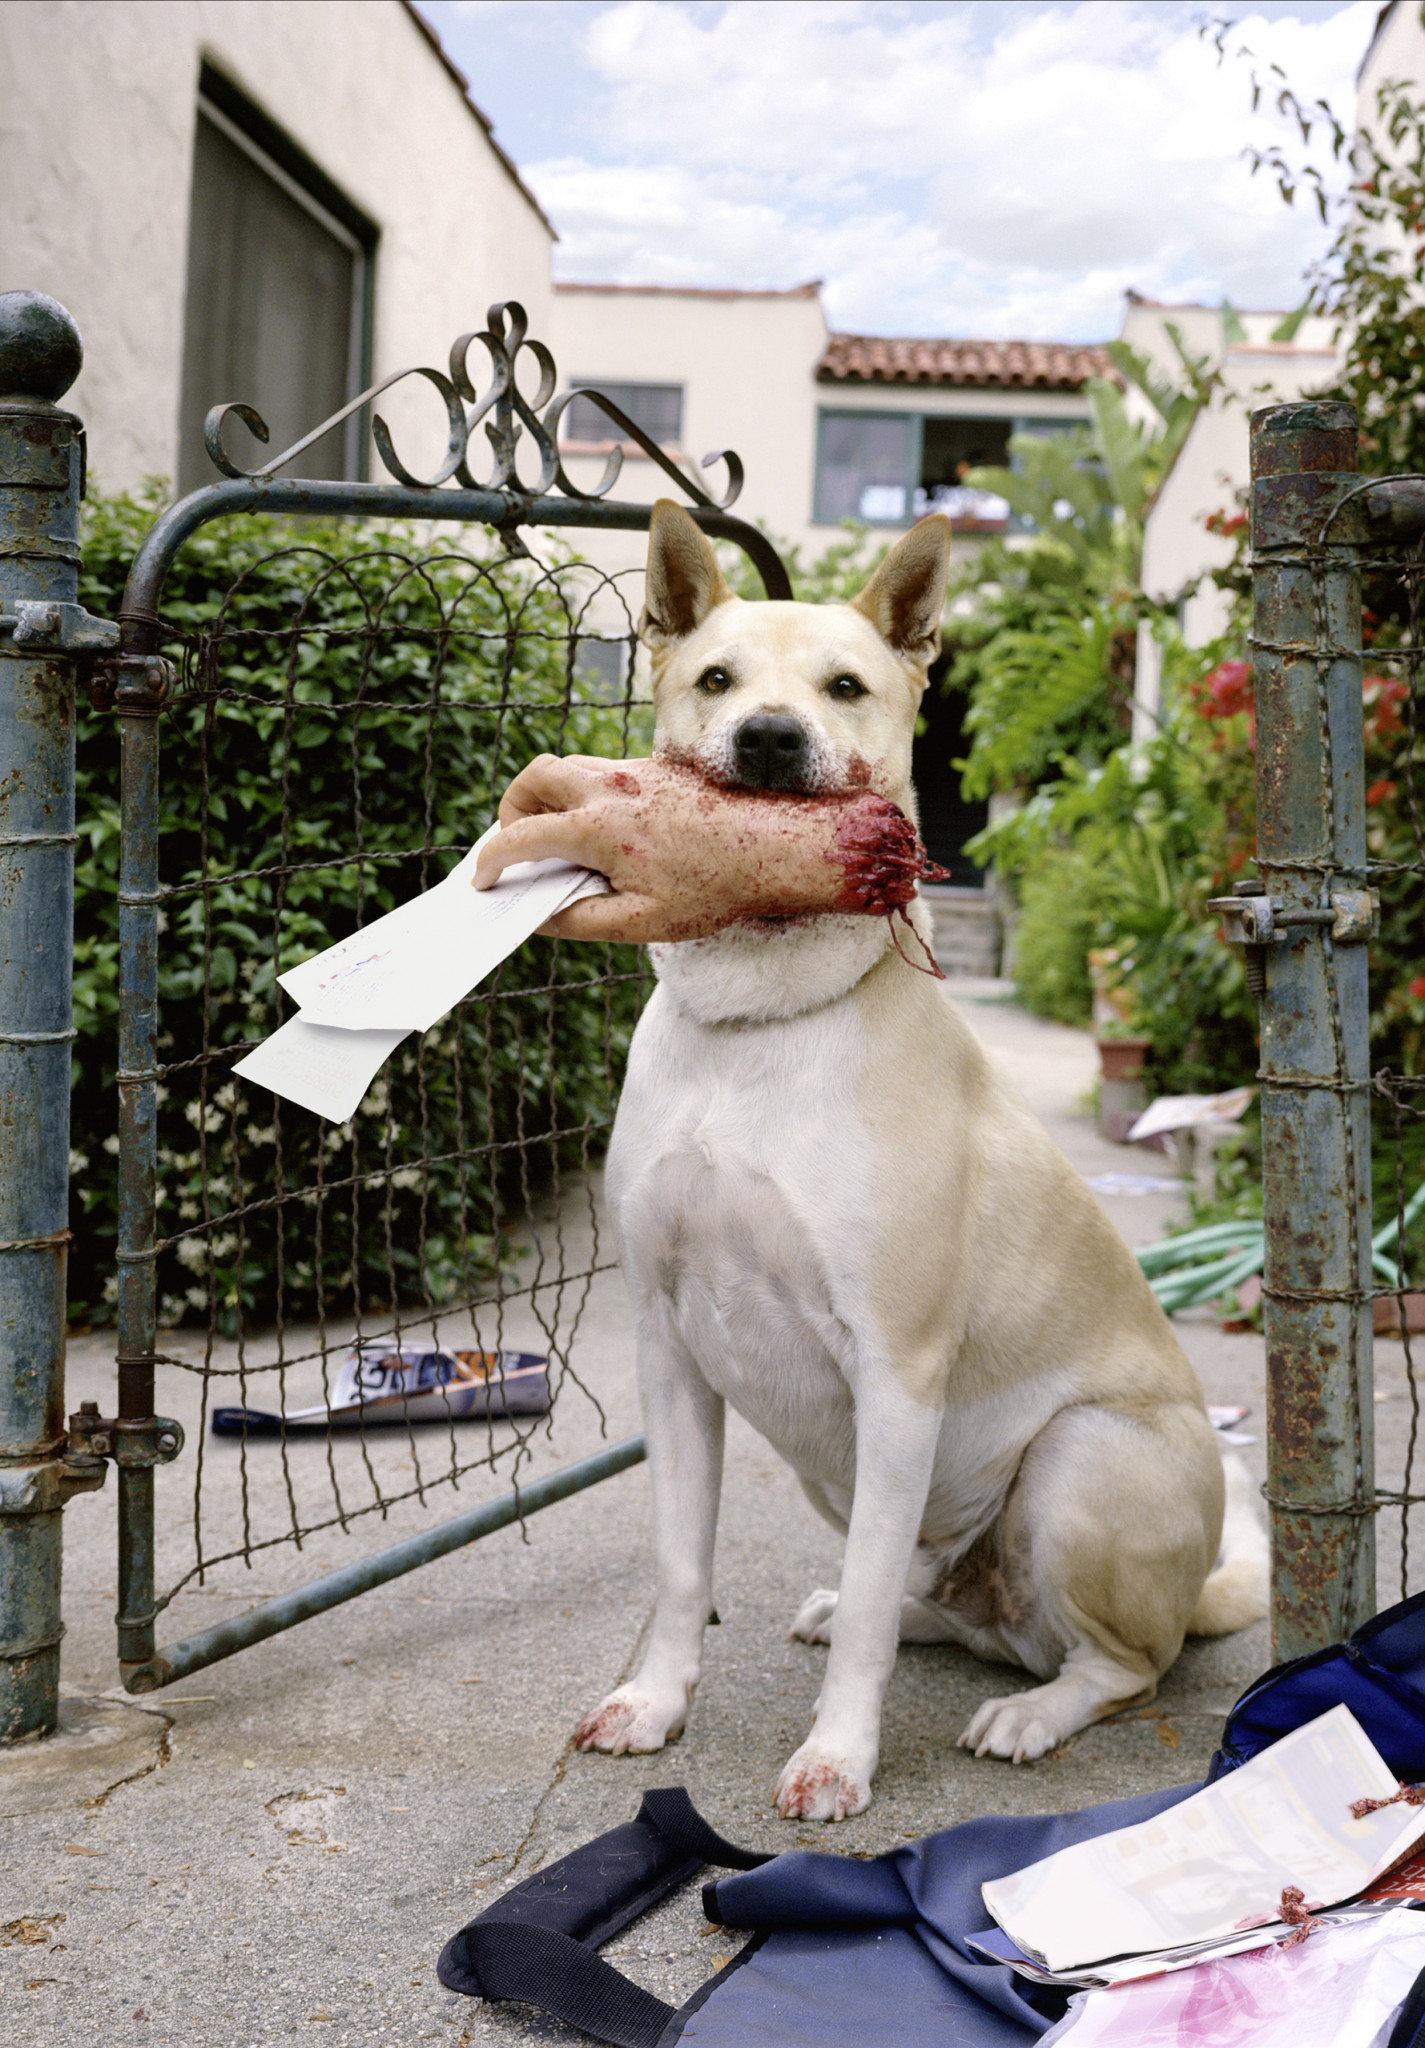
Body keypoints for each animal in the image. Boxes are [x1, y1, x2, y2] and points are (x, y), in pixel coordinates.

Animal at [573, 499, 1267, 1822]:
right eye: (715, 679)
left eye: (846, 687)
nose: (771, 738)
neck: (760, 1025)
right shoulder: (671, 1353)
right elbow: (684, 1565)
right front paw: (655, 1700)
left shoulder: (896, 1376)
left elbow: (862, 1642)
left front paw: (837, 1757)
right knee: (940, 1606)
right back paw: (900, 1607)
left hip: (1078, 1458)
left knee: (1118, 1662)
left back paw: (1033, 1711)